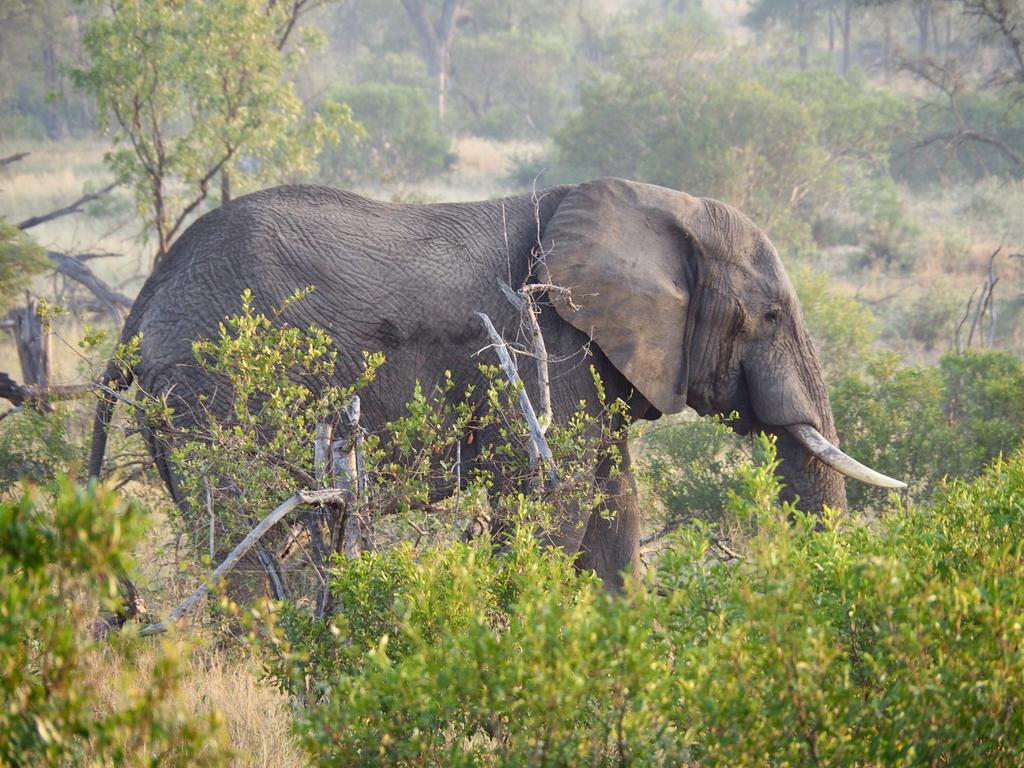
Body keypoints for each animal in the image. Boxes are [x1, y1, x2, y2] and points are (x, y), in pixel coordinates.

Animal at [88, 177, 903, 590]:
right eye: (768, 316)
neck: (651, 208)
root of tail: (143, 307)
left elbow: (612, 506)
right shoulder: (551, 341)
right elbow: (556, 504)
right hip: (212, 387)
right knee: (250, 531)